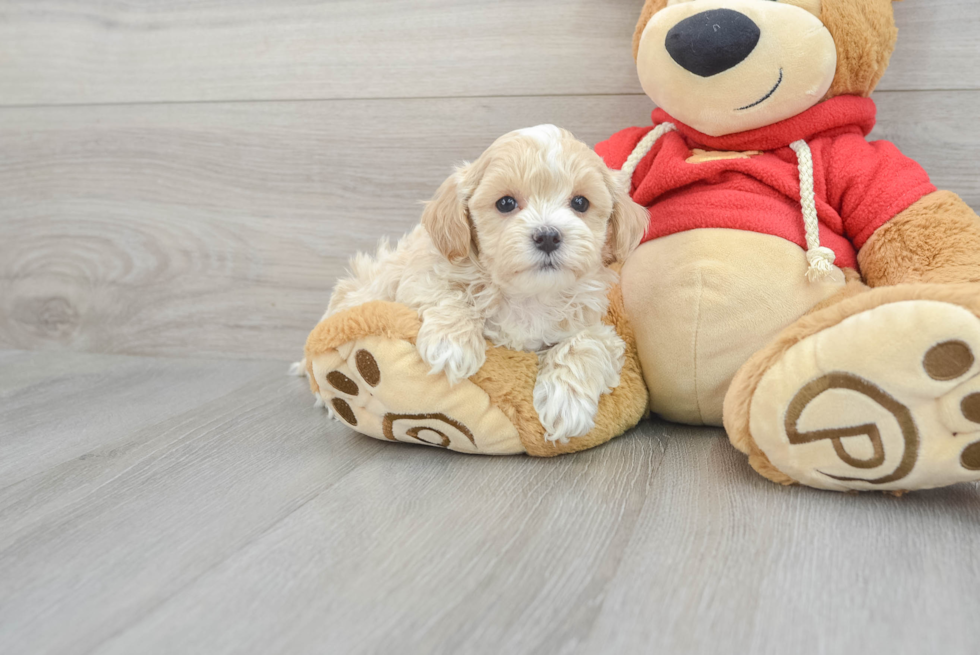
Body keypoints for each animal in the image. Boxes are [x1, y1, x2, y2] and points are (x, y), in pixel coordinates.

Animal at [316, 125, 652, 444]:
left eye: (580, 202)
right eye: (505, 203)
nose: (547, 235)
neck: (528, 296)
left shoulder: (597, 327)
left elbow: (588, 342)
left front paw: (565, 403)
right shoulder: (421, 277)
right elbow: (446, 293)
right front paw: (452, 345)